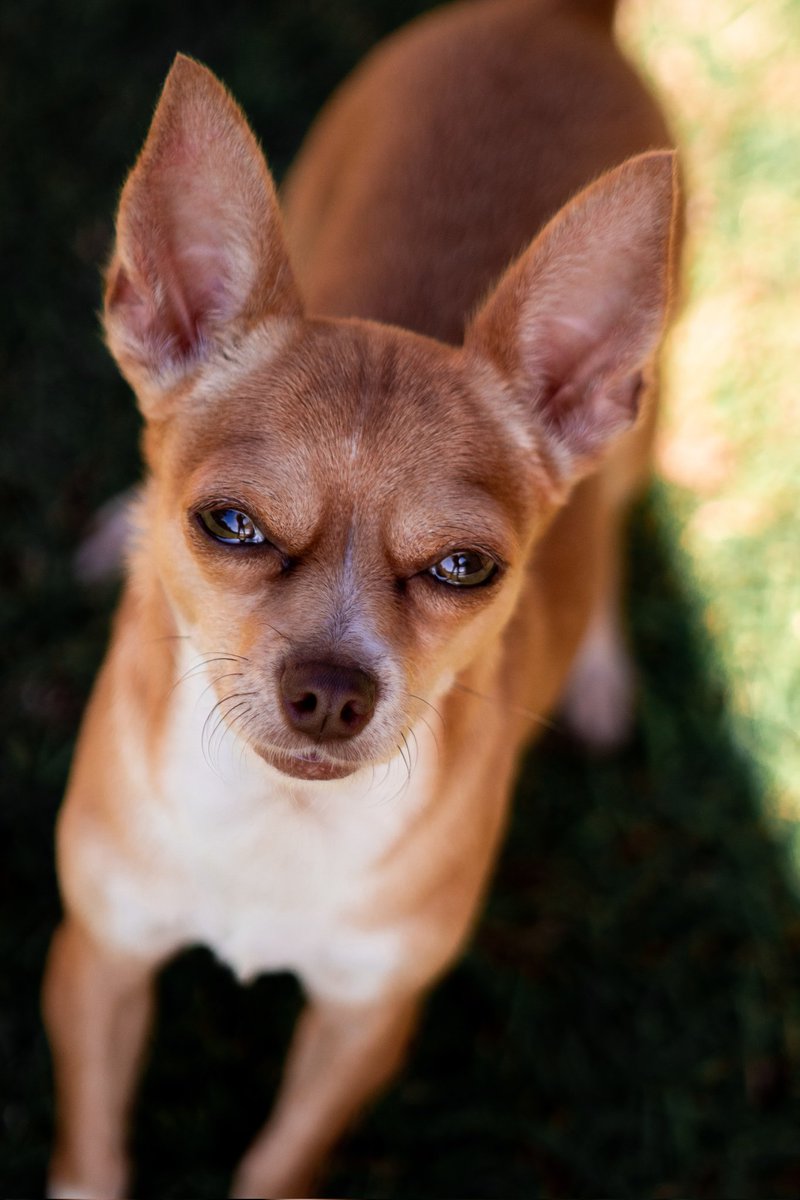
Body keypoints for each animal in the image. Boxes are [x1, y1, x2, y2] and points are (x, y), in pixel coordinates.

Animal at [43, 0, 681, 1195]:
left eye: (466, 568)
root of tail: (558, 16)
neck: (277, 822)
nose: (331, 690)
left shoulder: (360, 1026)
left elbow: (276, 1166)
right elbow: (93, 1157)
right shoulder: (101, 958)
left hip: (636, 438)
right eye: (228, 524)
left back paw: (601, 676)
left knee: (616, 529)